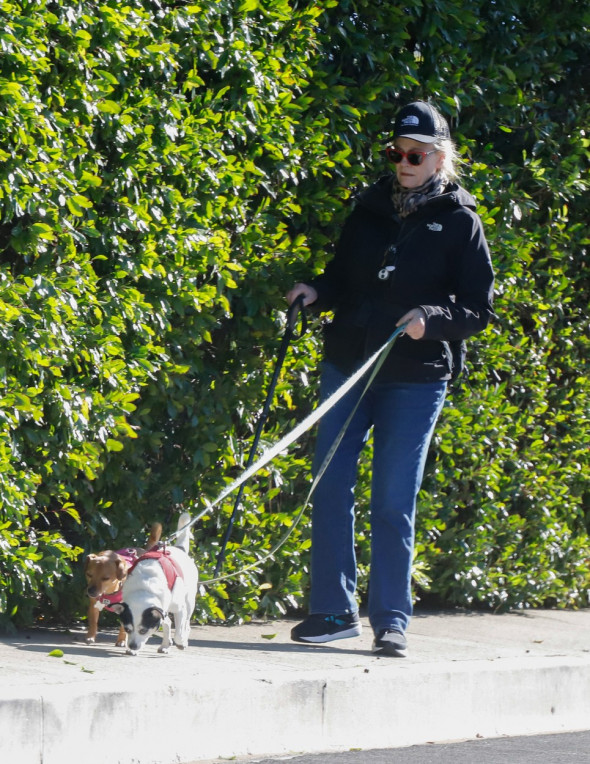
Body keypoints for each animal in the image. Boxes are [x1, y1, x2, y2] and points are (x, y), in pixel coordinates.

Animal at [112, 512, 200, 656]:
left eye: (143, 630)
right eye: (128, 629)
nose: (133, 646)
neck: (145, 588)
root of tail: (179, 548)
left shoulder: (179, 609)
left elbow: (179, 630)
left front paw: (180, 642)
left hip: (189, 601)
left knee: (186, 624)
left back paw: (183, 640)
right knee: (167, 622)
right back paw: (165, 645)